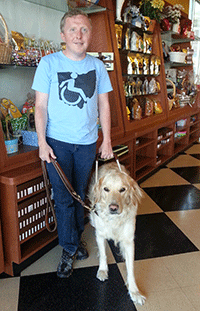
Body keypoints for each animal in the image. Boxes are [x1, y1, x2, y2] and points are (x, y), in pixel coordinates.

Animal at [88, 163, 146, 308]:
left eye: (122, 189)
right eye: (106, 189)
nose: (113, 208)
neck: (114, 220)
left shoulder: (129, 240)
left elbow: (130, 267)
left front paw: (134, 291)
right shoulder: (100, 234)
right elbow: (103, 253)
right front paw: (103, 270)